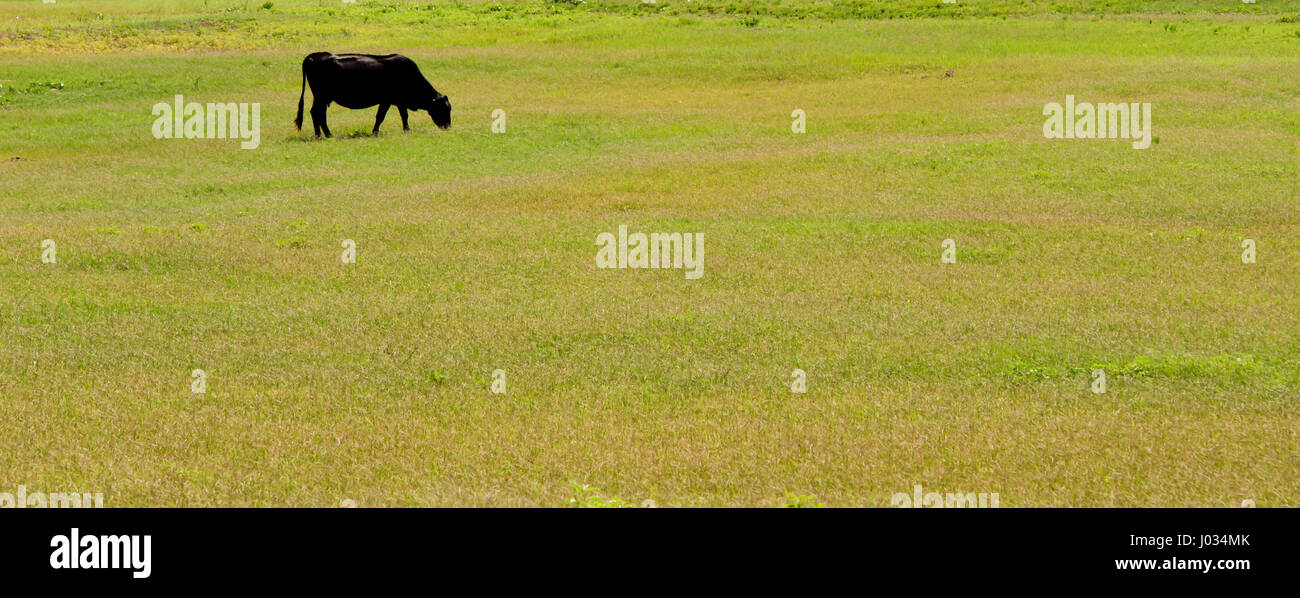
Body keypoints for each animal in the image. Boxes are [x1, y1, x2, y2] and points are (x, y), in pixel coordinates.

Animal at [293, 52, 451, 138]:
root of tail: (312, 57)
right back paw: (322, 135)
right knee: (316, 113)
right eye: (443, 109)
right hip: (321, 96)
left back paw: (324, 134)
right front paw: (375, 132)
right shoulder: (387, 100)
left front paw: (407, 130)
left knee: (319, 113)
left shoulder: (400, 102)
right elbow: (380, 117)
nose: (448, 127)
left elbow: (404, 116)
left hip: (323, 97)